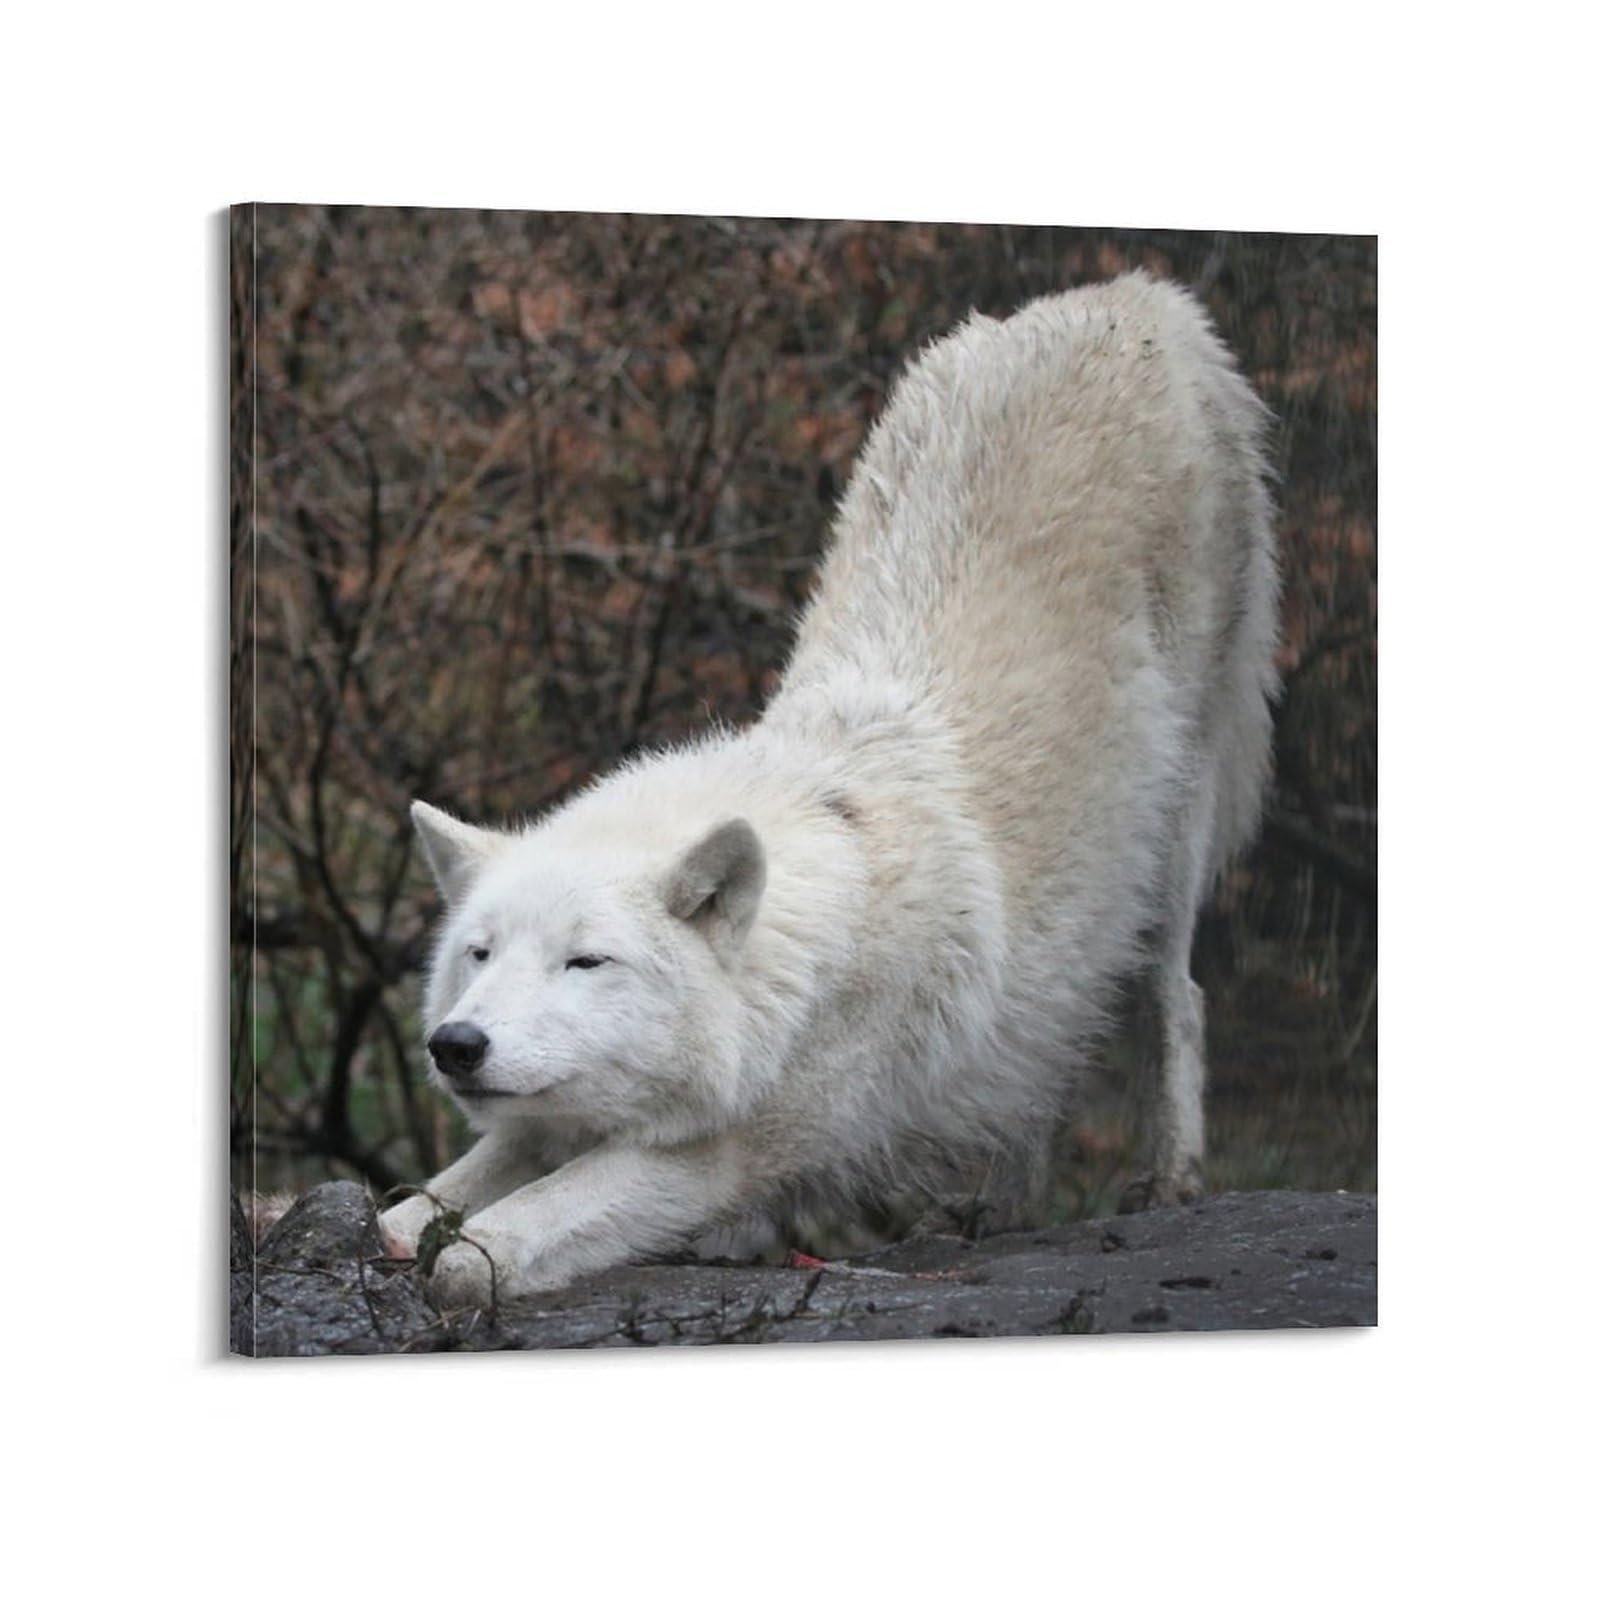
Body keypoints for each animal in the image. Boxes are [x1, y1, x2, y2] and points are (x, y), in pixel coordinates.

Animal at [380, 270, 1278, 1307]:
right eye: (479, 954)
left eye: (585, 962)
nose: (457, 1045)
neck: (791, 981)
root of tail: (1135, 295)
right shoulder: (544, 1127)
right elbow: (417, 1207)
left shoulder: (720, 1154)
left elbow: (486, 1244)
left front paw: (461, 1263)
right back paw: (994, 1205)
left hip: (1172, 835)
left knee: (1177, 994)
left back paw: (1168, 1177)